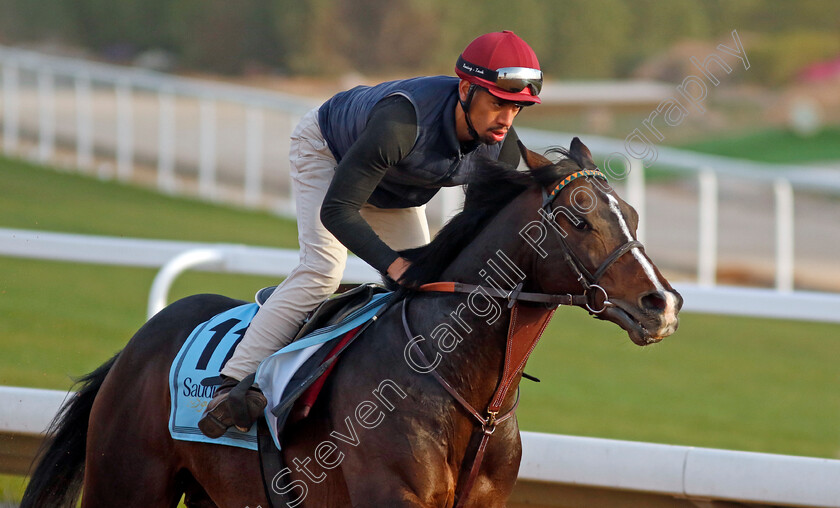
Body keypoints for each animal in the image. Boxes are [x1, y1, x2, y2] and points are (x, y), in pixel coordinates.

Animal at [21, 137, 684, 506]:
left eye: (631, 214)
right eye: (576, 216)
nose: (664, 303)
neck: (460, 385)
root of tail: (137, 346)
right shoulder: (392, 497)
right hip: (124, 484)